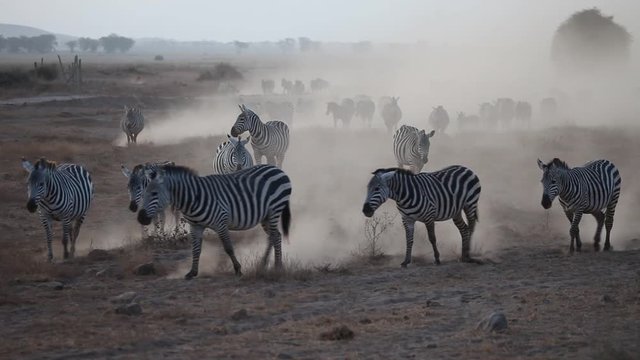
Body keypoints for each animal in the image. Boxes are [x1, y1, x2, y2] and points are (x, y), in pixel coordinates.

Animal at [139, 163, 294, 278]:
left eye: (154, 193)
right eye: (143, 193)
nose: (141, 217)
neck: (193, 198)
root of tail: (277, 169)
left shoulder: (221, 223)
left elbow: (228, 248)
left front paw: (238, 269)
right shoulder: (195, 226)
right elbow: (196, 249)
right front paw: (192, 272)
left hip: (274, 210)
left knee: (273, 237)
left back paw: (271, 265)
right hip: (265, 216)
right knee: (276, 236)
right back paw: (271, 265)